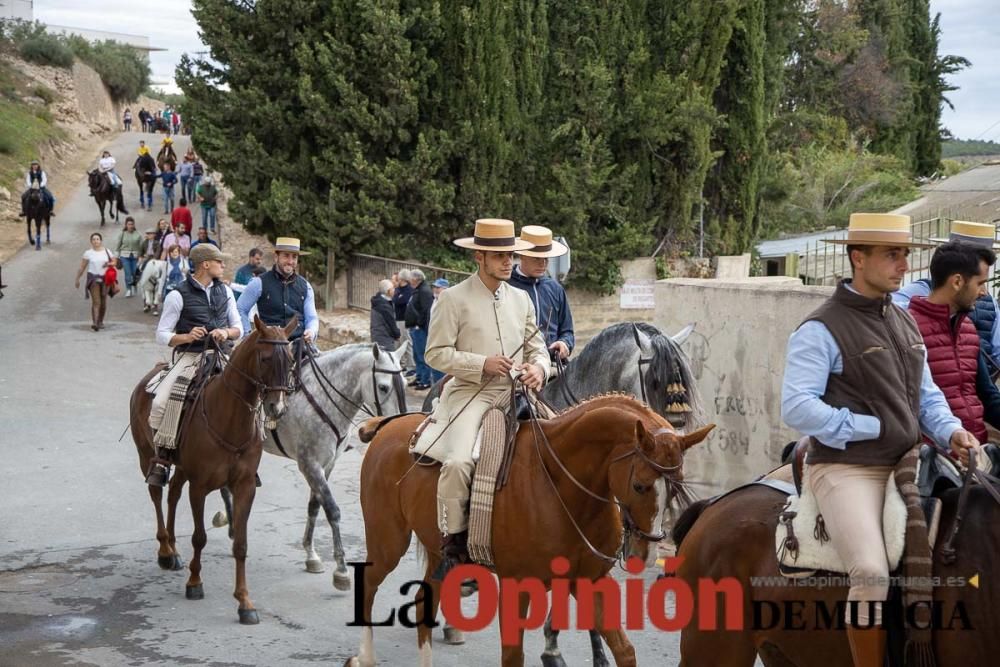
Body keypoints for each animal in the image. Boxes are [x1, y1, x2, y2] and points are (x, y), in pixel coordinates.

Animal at [128, 316, 296, 624]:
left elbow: (240, 544)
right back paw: (165, 550)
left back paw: (174, 551)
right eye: (265, 358)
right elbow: (199, 537)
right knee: (157, 494)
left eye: (290, 358)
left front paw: (244, 602)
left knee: (173, 494)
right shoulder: (200, 486)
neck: (229, 418)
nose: (276, 407)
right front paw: (195, 583)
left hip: (182, 468)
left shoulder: (244, 487)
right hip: (146, 455)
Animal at [217, 344, 408, 588]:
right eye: (383, 387)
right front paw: (341, 570)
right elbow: (332, 509)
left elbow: (314, 507)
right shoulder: (310, 464)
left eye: (405, 383)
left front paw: (311, 555)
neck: (322, 398)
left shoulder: (326, 465)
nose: (399, 423)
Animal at [348, 394, 716, 667]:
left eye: (677, 486)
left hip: (438, 552)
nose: (646, 554)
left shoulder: (589, 581)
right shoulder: (518, 587)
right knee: (369, 584)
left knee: (426, 599)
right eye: (640, 486)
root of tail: (389, 424)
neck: (561, 484)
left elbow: (624, 651)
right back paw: (363, 656)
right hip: (388, 541)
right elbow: (513, 656)